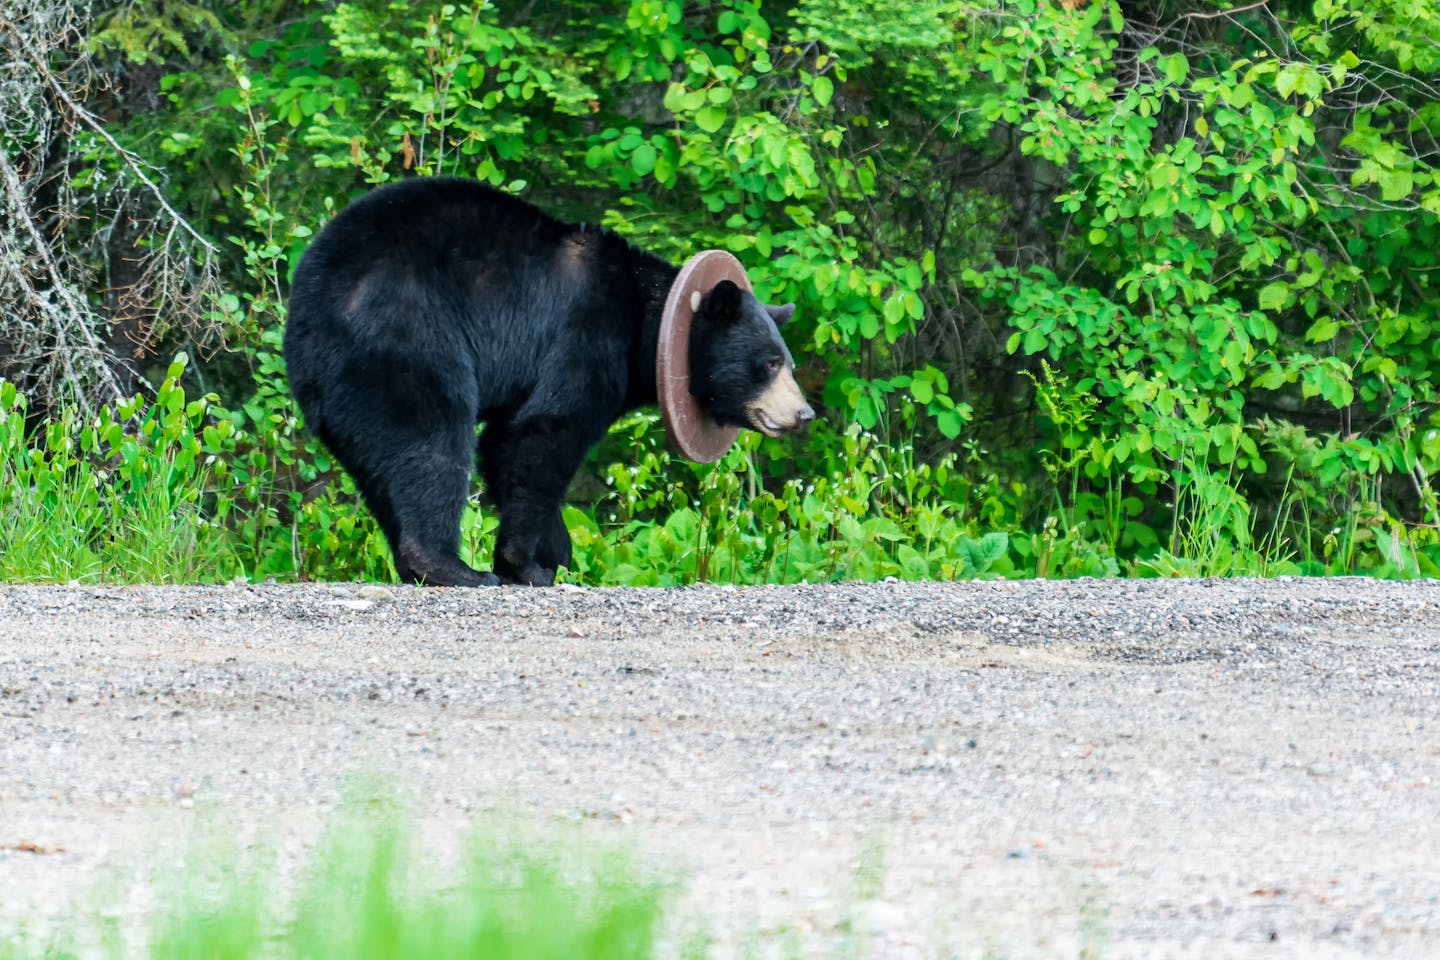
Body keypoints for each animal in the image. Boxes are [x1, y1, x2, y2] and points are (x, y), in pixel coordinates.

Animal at [280, 177, 812, 590]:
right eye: (768, 363)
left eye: (787, 363)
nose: (803, 413)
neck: (651, 323)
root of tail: (307, 315)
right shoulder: (586, 335)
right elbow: (546, 430)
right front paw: (526, 564)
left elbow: (507, 443)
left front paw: (555, 553)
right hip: (406, 344)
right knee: (431, 444)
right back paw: (453, 568)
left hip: (349, 395)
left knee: (381, 469)